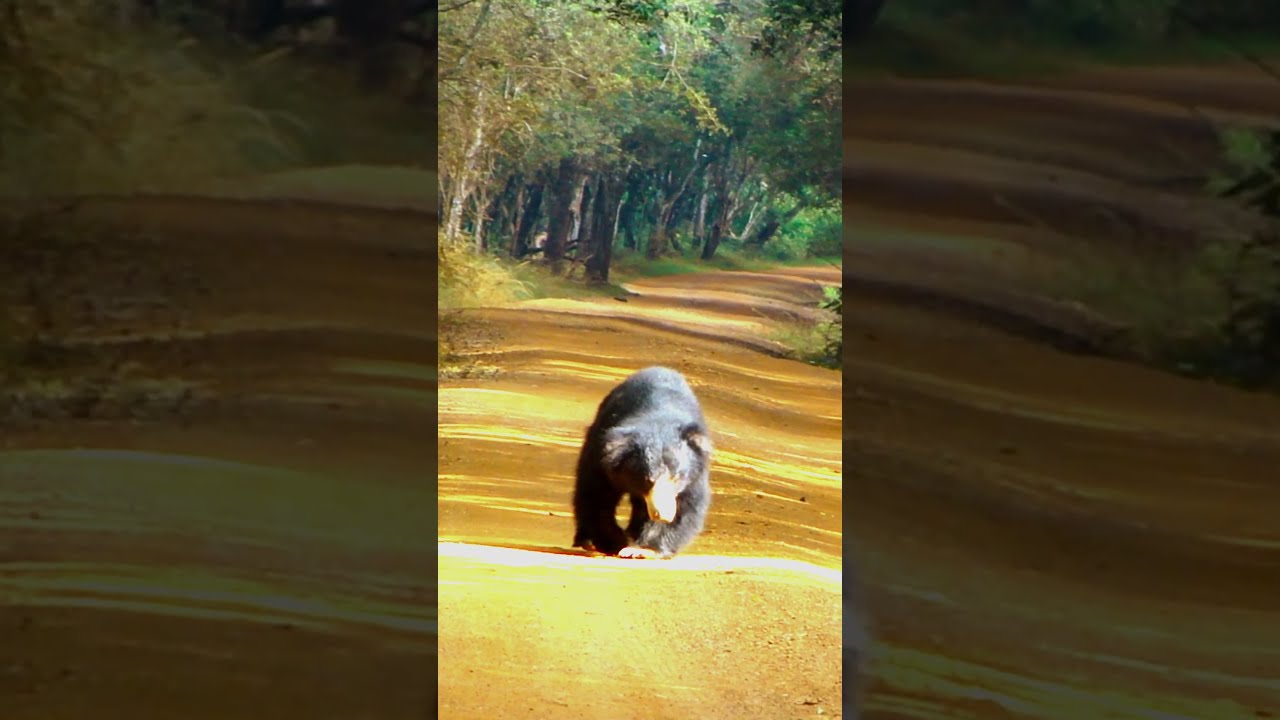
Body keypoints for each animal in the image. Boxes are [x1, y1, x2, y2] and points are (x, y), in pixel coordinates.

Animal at [571, 366, 713, 559]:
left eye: (676, 478)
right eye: (648, 480)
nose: (663, 514)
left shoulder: (695, 471)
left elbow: (687, 505)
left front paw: (642, 549)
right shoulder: (601, 455)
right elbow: (596, 494)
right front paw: (616, 542)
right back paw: (586, 541)